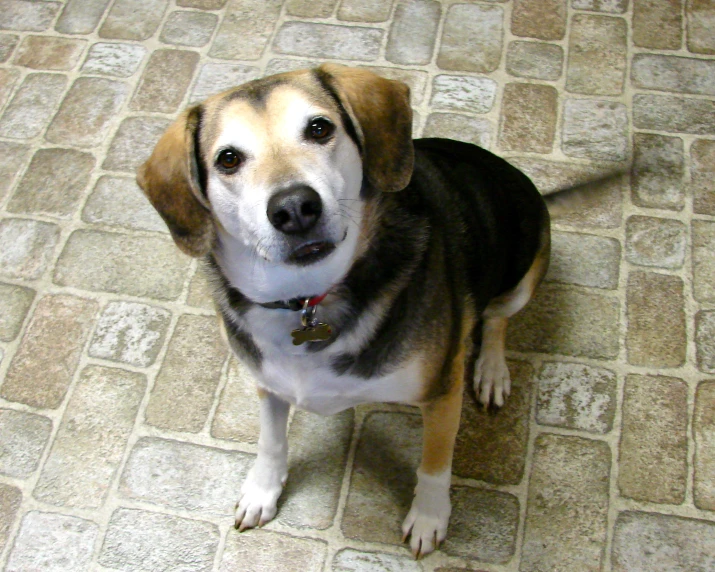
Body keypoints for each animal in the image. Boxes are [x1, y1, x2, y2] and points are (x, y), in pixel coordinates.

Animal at [137, 65, 552, 556]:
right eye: (229, 159)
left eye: (319, 128)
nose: (295, 207)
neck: (306, 299)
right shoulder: (267, 382)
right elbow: (271, 442)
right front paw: (263, 490)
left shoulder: (441, 390)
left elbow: (435, 463)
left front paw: (429, 517)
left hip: (525, 274)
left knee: (496, 319)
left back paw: (490, 371)